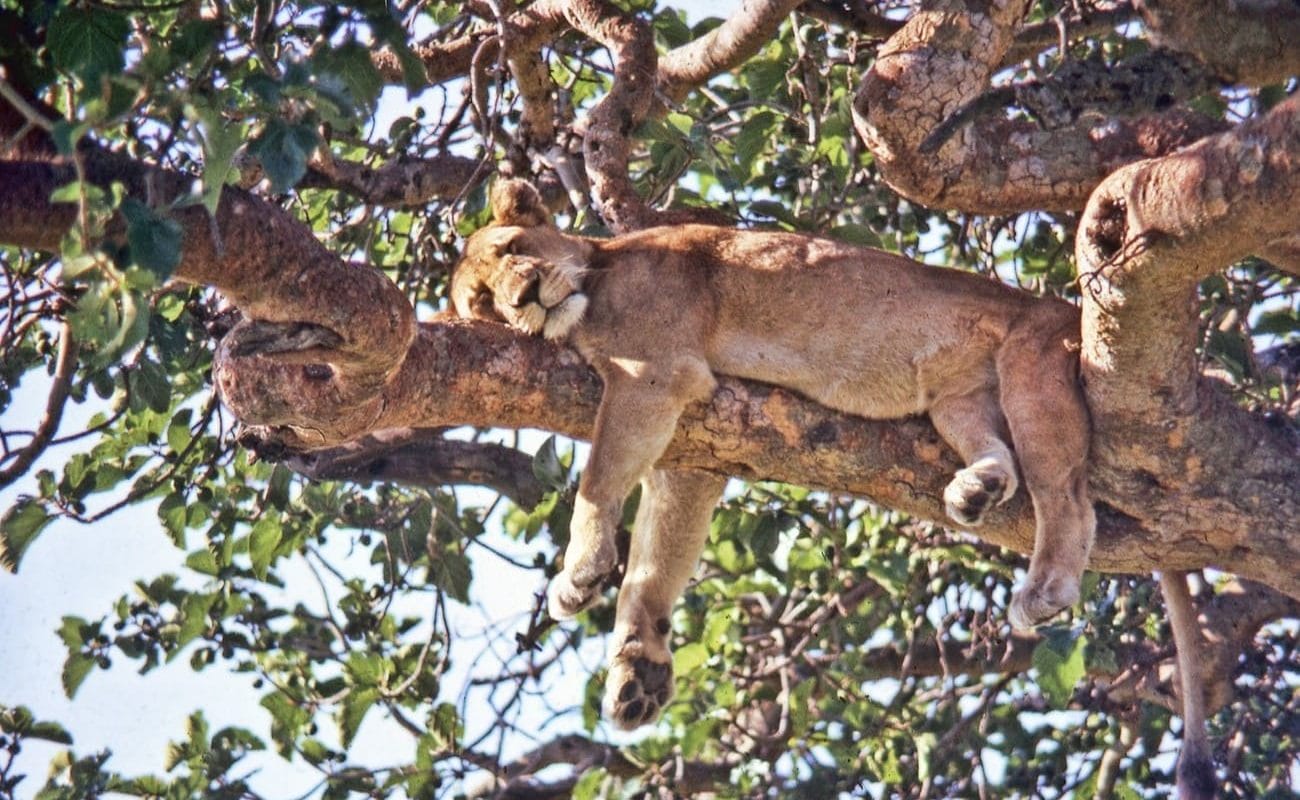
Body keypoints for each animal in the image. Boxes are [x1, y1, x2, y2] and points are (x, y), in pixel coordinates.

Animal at [449, 180, 1096, 731]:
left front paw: (579, 572)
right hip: (957, 402)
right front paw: (639, 668)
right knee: (997, 451)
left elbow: (597, 481)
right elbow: (654, 563)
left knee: (1068, 497)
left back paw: (1045, 589)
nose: (524, 296)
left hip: (1032, 364)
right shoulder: (688, 457)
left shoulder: (652, 374)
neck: (598, 273)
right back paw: (976, 488)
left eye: (513, 248)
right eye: (483, 300)